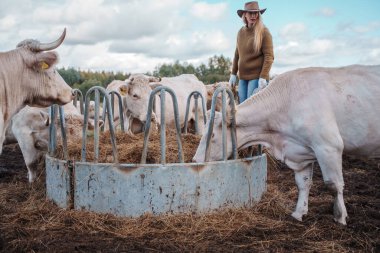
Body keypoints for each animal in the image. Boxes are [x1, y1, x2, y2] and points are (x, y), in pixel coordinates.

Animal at [194, 64, 380, 224]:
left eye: (212, 135)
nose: (195, 160)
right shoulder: (300, 152)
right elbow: (303, 183)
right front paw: (299, 212)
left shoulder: (329, 146)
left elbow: (334, 185)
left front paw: (340, 216)